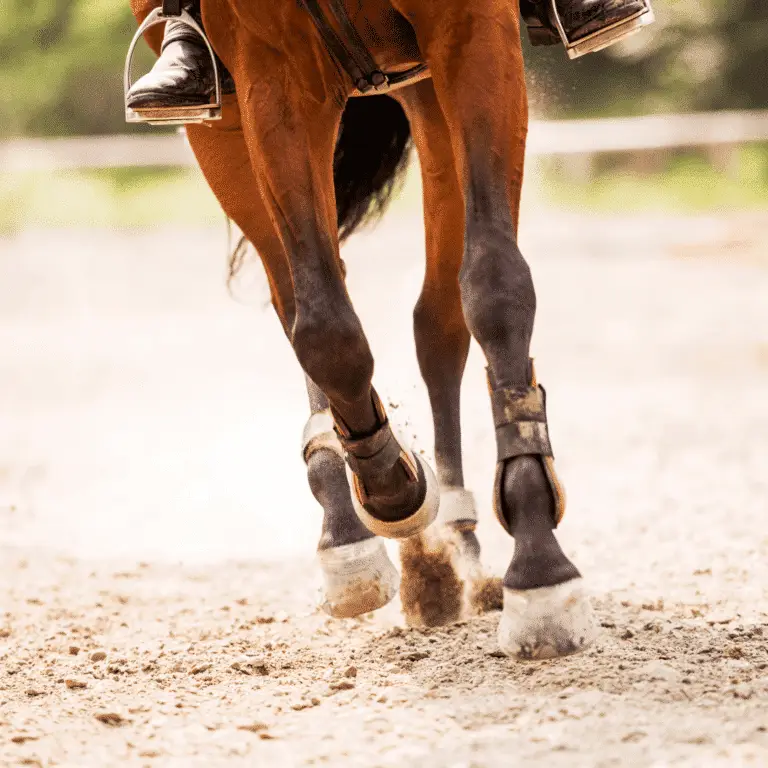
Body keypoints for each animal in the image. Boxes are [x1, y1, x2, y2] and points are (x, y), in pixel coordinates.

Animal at [129, 0, 596, 660]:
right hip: (227, 126)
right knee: (300, 298)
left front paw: (539, 569)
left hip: (424, 93)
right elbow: (325, 328)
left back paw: (456, 542)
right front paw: (391, 484)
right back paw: (349, 527)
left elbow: (494, 283)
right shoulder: (269, 72)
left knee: (438, 320)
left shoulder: (472, 30)